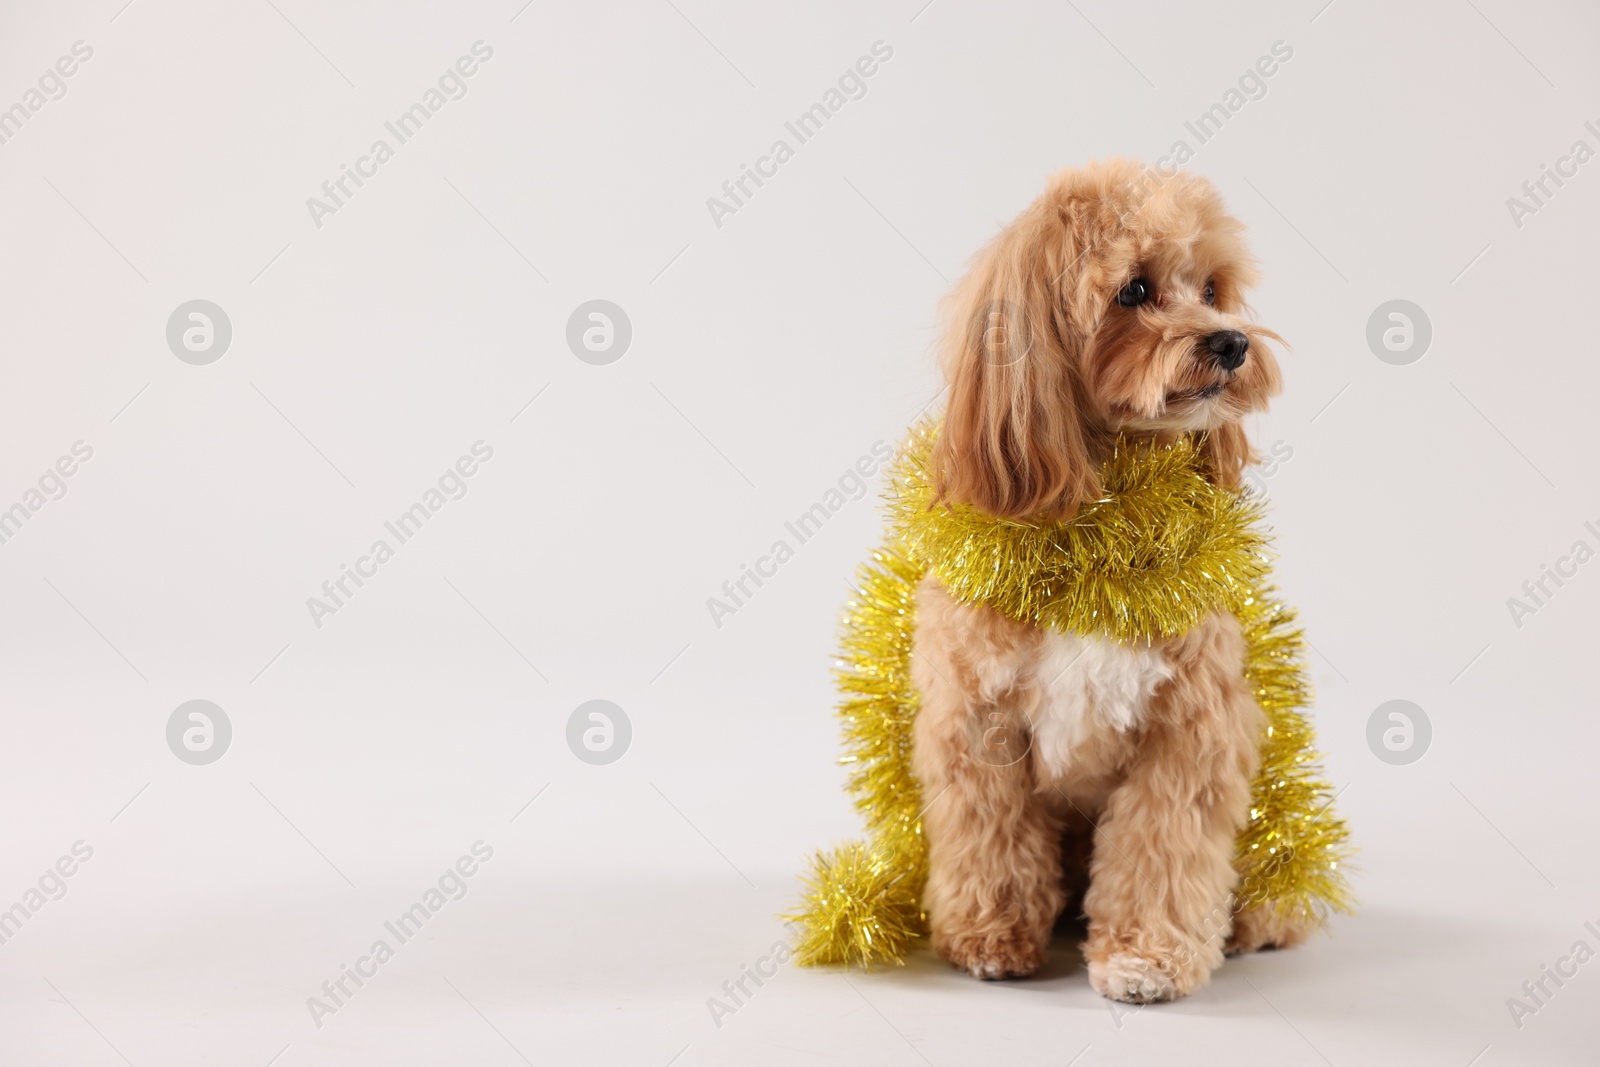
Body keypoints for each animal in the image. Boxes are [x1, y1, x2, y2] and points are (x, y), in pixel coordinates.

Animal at [908, 156, 1305, 1004]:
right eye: (1134, 290)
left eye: (1213, 288)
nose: (1231, 342)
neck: (1101, 529)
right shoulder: (980, 721)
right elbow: (990, 839)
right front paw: (989, 937)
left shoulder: (1189, 727)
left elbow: (1161, 851)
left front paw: (1146, 957)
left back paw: (1259, 919)